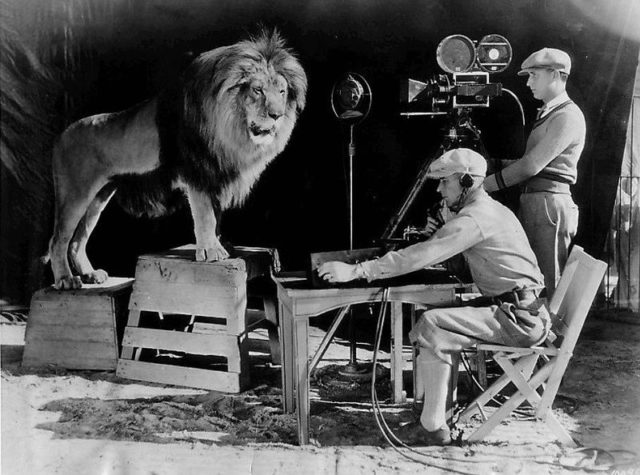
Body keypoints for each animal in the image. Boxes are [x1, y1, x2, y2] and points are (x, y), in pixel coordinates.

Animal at [46, 31, 306, 290]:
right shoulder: (197, 172)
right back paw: (66, 280)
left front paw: (222, 245)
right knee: (58, 240)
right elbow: (205, 214)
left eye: (282, 92)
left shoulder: (215, 174)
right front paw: (211, 251)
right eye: (257, 90)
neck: (228, 125)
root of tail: (60, 136)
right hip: (75, 195)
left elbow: (217, 215)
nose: (276, 115)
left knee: (77, 242)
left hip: (99, 197)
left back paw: (90, 275)